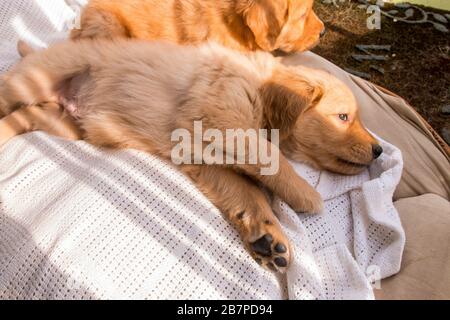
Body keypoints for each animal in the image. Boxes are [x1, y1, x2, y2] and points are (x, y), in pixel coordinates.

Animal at [0, 38, 384, 272]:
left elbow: (248, 192)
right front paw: (307, 195)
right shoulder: (221, 120)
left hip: (59, 122)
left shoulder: (202, 158)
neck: (260, 88)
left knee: (18, 119)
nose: (380, 150)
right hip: (33, 80)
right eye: (343, 117)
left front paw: (268, 237)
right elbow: (269, 156)